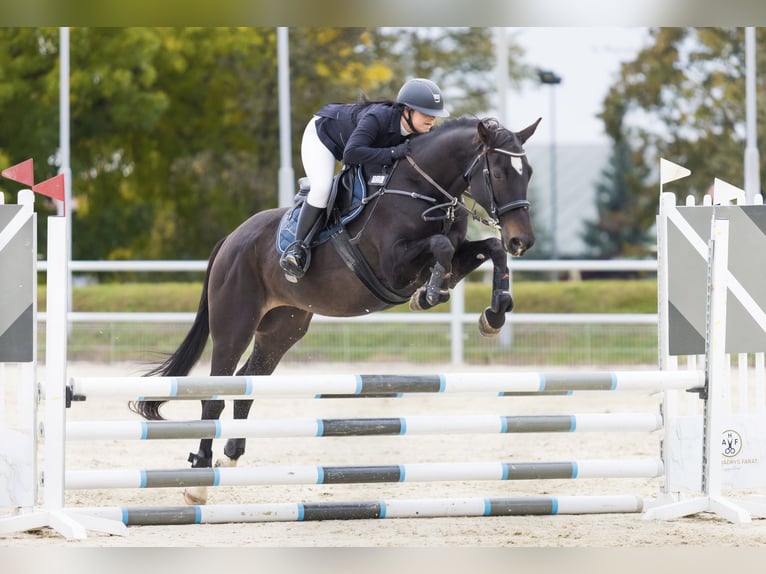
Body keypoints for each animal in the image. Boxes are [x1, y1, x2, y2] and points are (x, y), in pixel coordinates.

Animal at [130, 115, 540, 504]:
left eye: (529, 173)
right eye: (499, 173)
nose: (522, 240)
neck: (423, 190)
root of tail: (230, 240)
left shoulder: (457, 256)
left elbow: (487, 248)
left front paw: (494, 314)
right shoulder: (394, 266)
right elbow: (440, 246)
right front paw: (429, 296)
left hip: (282, 329)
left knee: (248, 382)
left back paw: (230, 456)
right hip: (235, 325)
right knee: (215, 393)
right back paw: (198, 484)